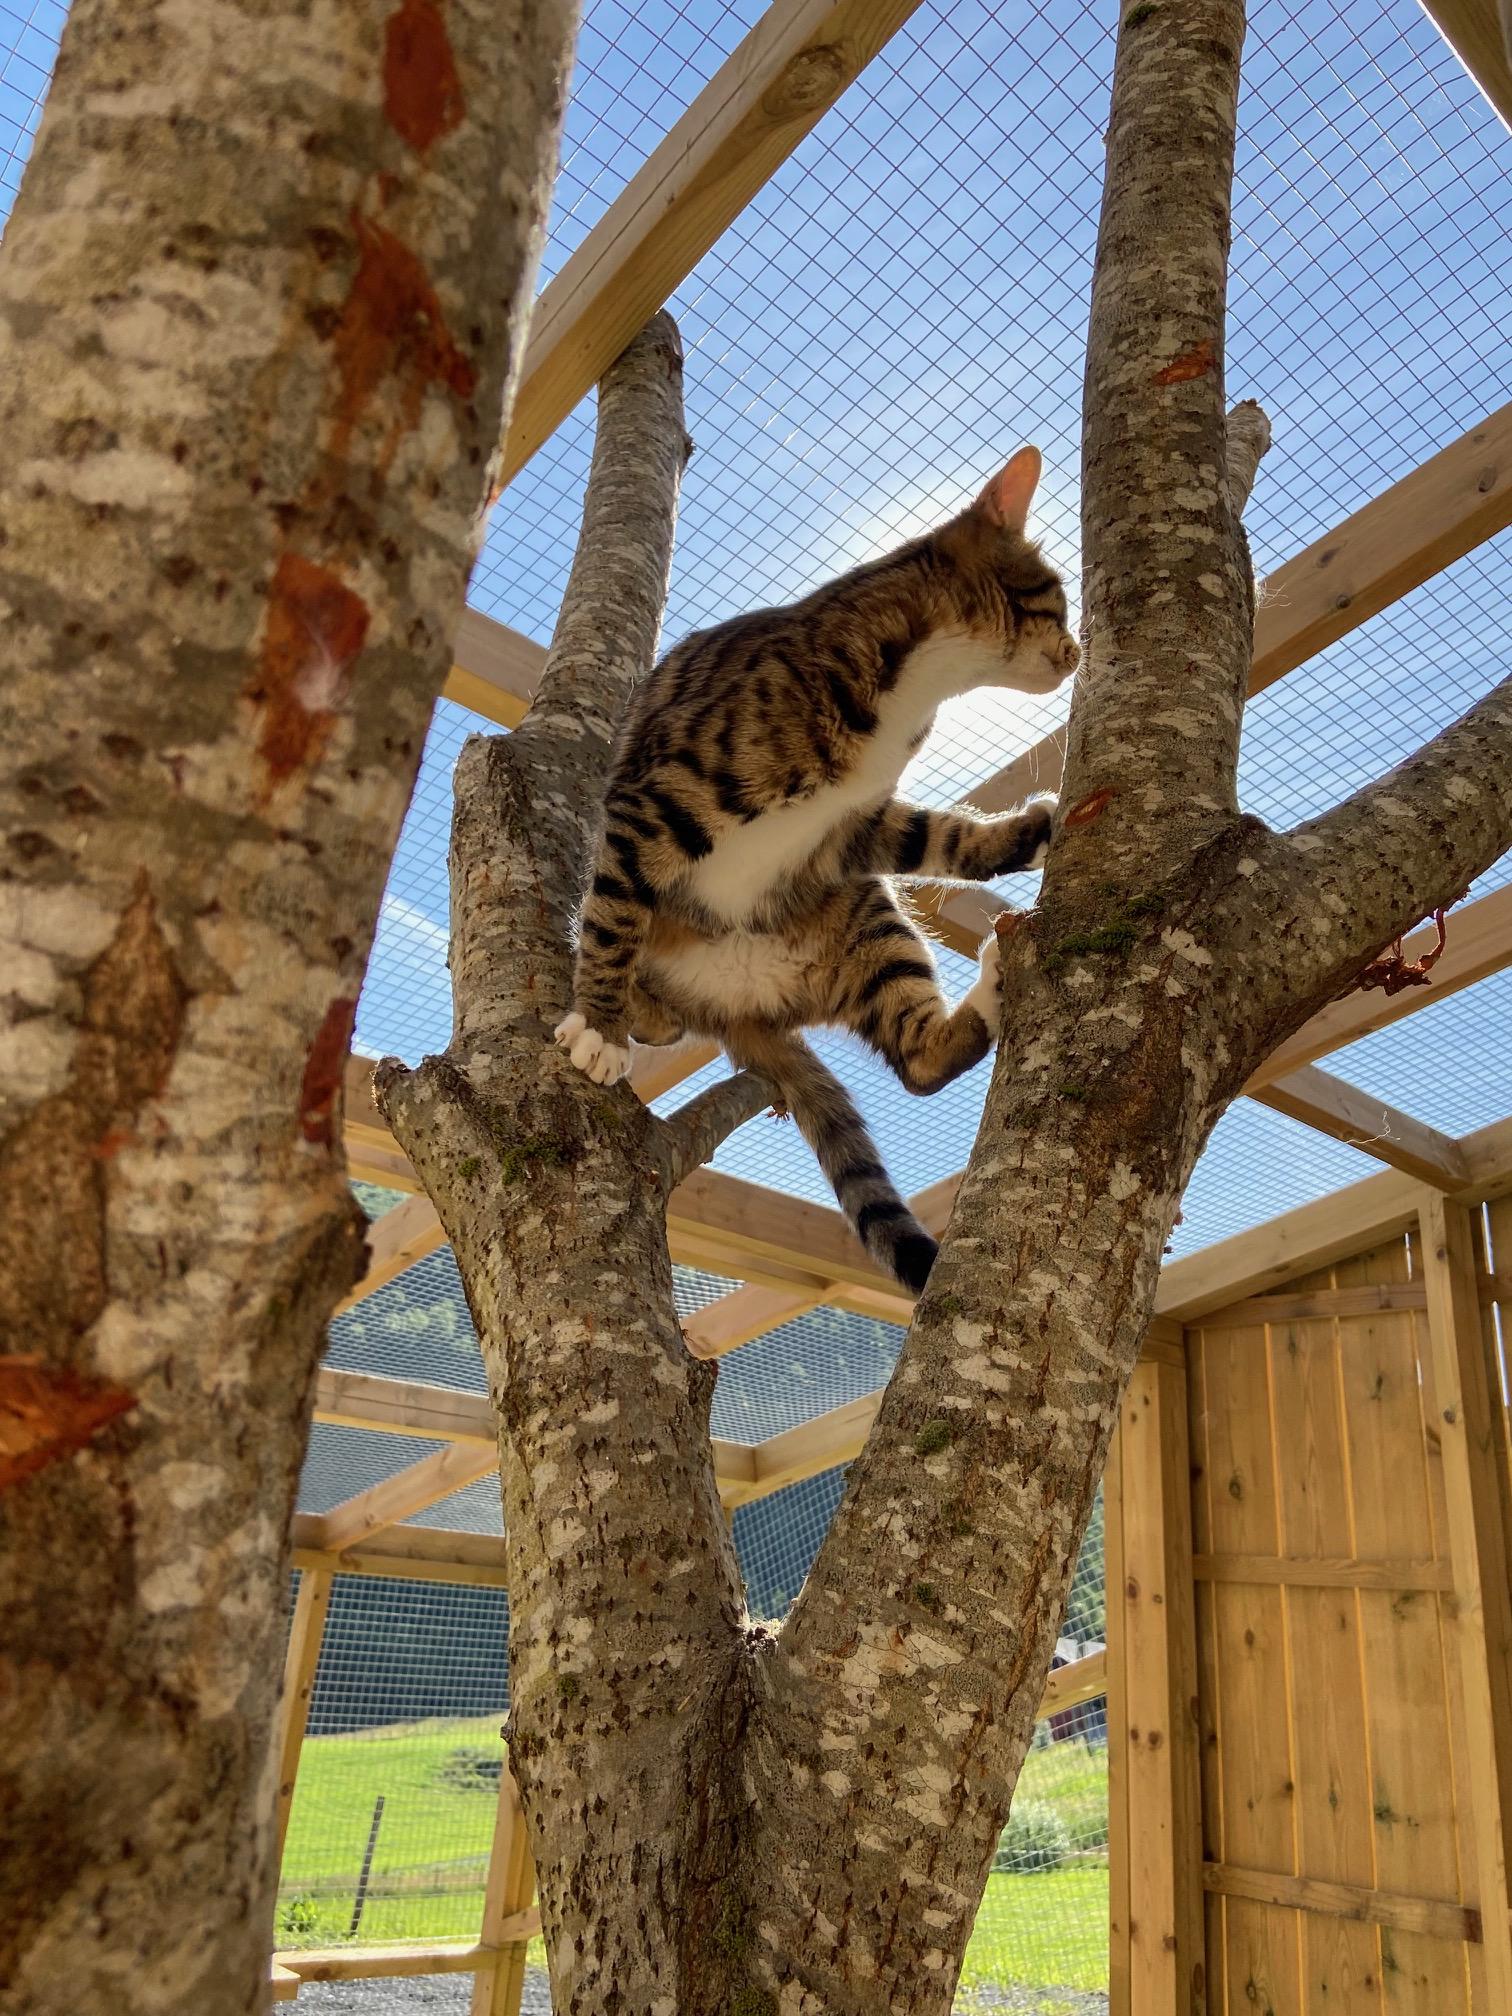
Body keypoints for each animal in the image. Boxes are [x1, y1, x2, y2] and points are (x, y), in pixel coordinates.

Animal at [556, 447, 1080, 1282]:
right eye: (1058, 602)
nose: (1078, 652)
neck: (910, 694)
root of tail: (740, 1006)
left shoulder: (853, 831)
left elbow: (940, 838)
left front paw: (1033, 832)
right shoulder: (653, 801)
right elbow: (612, 918)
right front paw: (600, 1025)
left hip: (867, 920)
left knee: (921, 1064)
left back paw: (994, 985)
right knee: (627, 946)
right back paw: (634, 1010)